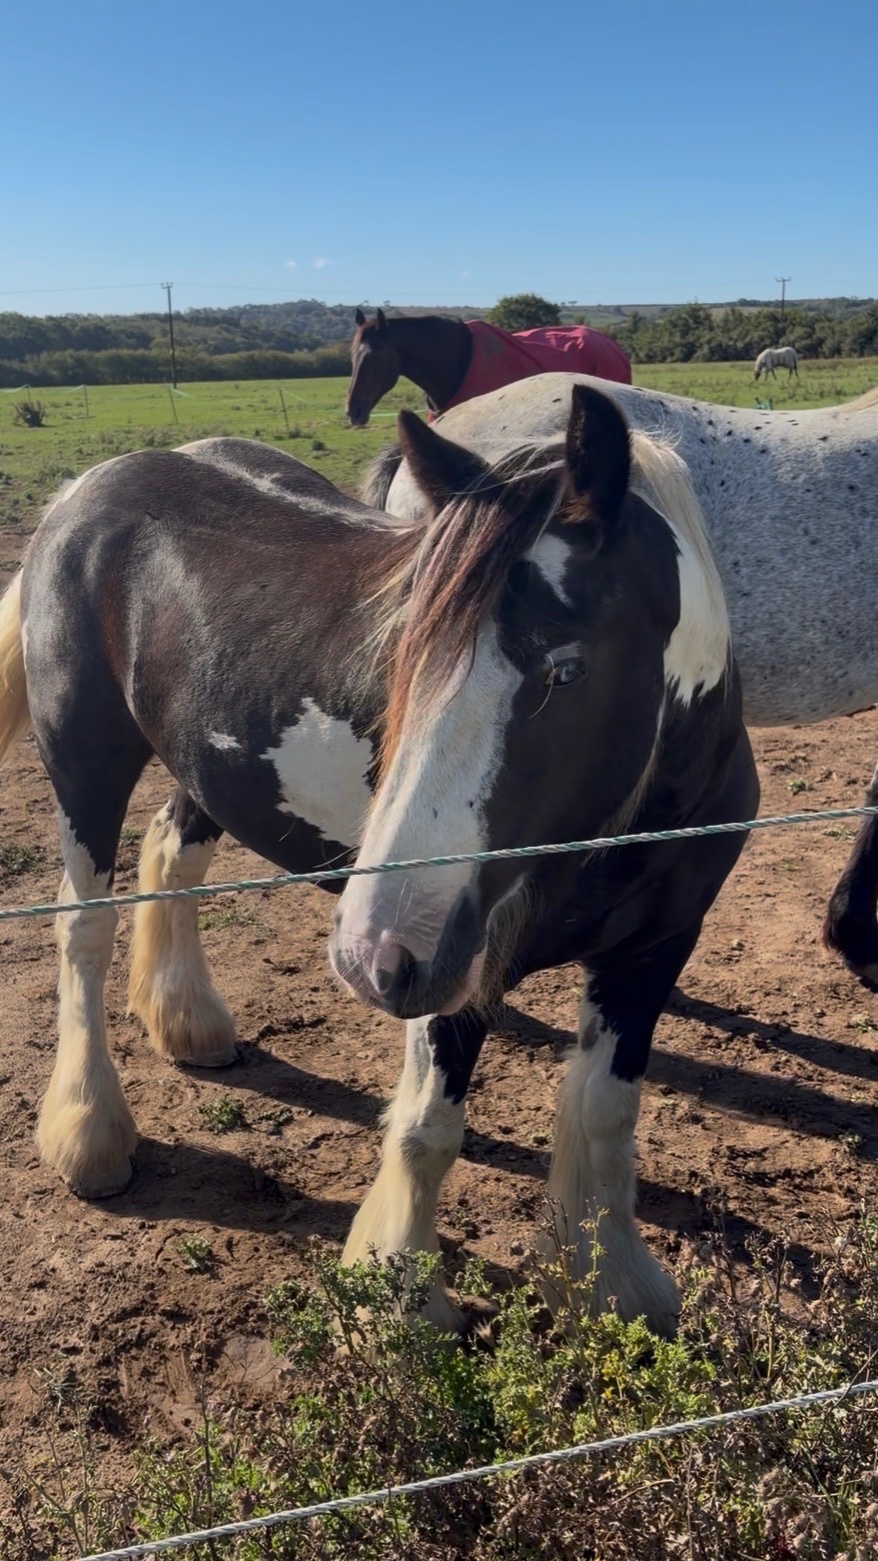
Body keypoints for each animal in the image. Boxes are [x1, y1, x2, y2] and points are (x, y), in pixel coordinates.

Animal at [0, 386, 756, 1338]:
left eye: (565, 670)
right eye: (408, 655)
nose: (367, 953)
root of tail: (88, 487)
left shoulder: (655, 947)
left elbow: (606, 1109)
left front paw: (607, 1283)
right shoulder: (452, 965)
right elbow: (428, 1127)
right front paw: (399, 1301)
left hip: (211, 765)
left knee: (170, 854)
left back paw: (190, 1024)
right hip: (84, 761)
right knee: (82, 933)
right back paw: (89, 1131)